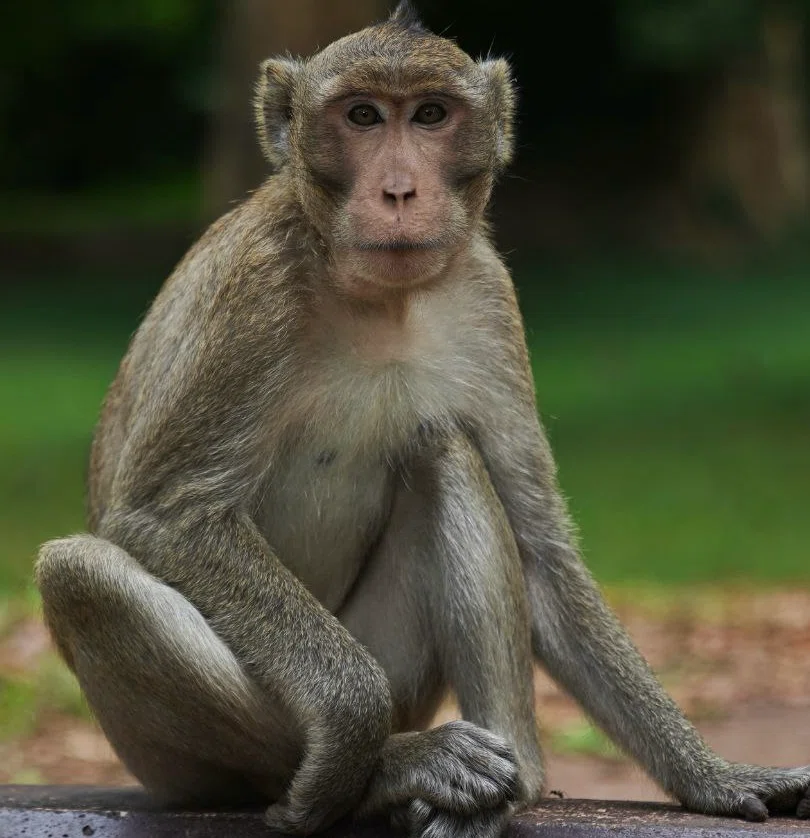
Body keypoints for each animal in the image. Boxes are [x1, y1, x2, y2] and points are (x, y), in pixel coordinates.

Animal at [35, 3, 810, 837]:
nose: (401, 190)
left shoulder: (486, 294)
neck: (378, 298)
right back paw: (388, 767)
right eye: (362, 116)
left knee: (445, 450)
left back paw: (511, 782)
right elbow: (167, 513)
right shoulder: (256, 288)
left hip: (408, 673)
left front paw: (713, 775)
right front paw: (354, 732)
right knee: (82, 576)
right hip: (172, 760)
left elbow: (541, 552)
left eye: (432, 115)